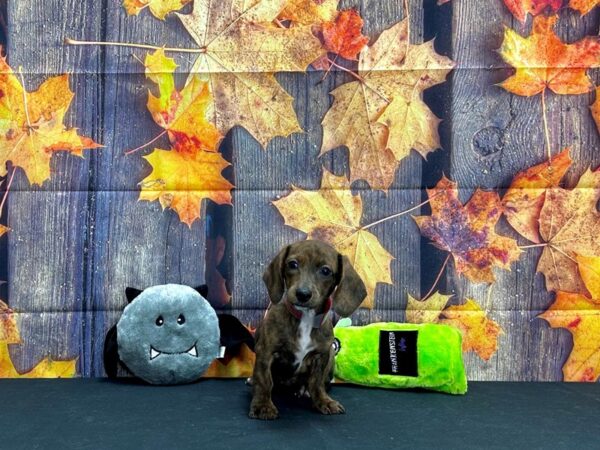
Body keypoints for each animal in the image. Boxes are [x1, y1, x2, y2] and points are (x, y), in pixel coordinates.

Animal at [247, 241, 366, 420]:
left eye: (326, 271)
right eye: (292, 264)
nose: (303, 294)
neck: (305, 318)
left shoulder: (321, 355)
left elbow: (316, 383)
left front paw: (323, 401)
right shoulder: (266, 352)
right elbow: (264, 380)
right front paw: (263, 405)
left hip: (332, 356)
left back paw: (305, 390)